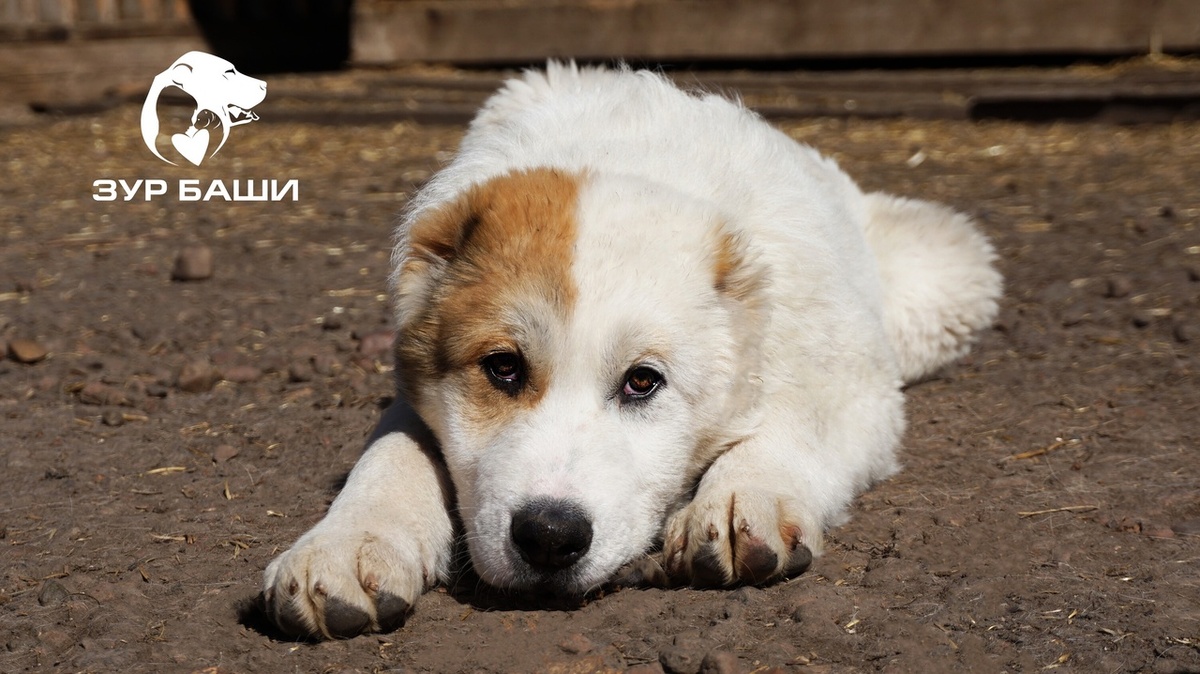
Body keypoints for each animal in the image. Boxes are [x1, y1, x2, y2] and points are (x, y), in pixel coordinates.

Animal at [262, 61, 1003, 633]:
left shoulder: (855, 389)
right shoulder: (413, 394)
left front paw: (744, 496)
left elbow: (792, 428)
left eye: (642, 381)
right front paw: (348, 542)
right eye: (502, 369)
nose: (549, 537)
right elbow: (394, 451)